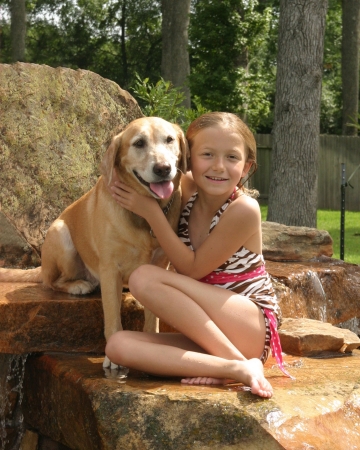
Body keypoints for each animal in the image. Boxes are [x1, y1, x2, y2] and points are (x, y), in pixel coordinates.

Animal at [1, 118, 188, 368]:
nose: (163, 168)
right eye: (139, 143)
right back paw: (78, 285)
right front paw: (114, 357)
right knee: (52, 282)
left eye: (169, 139)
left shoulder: (158, 267)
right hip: (61, 236)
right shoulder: (110, 269)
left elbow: (152, 319)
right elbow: (113, 319)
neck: (145, 215)